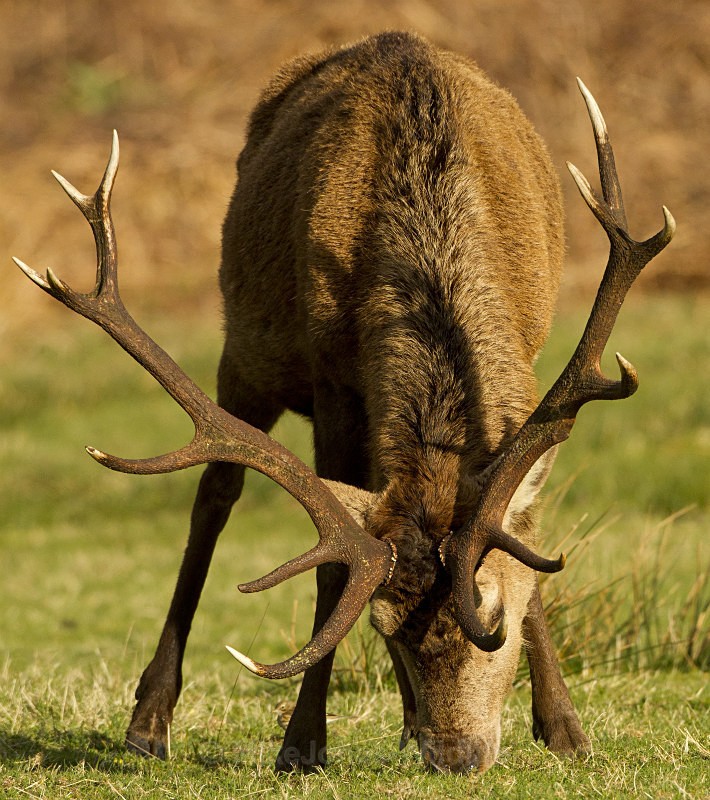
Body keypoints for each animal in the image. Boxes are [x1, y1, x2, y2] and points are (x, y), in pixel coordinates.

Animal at [15, 31, 673, 774]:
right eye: (383, 626)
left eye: (494, 623)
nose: (455, 756)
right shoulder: (333, 385)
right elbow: (331, 574)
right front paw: (302, 742)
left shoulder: (527, 366)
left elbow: (526, 540)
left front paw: (565, 729)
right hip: (244, 355)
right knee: (213, 498)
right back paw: (151, 722)